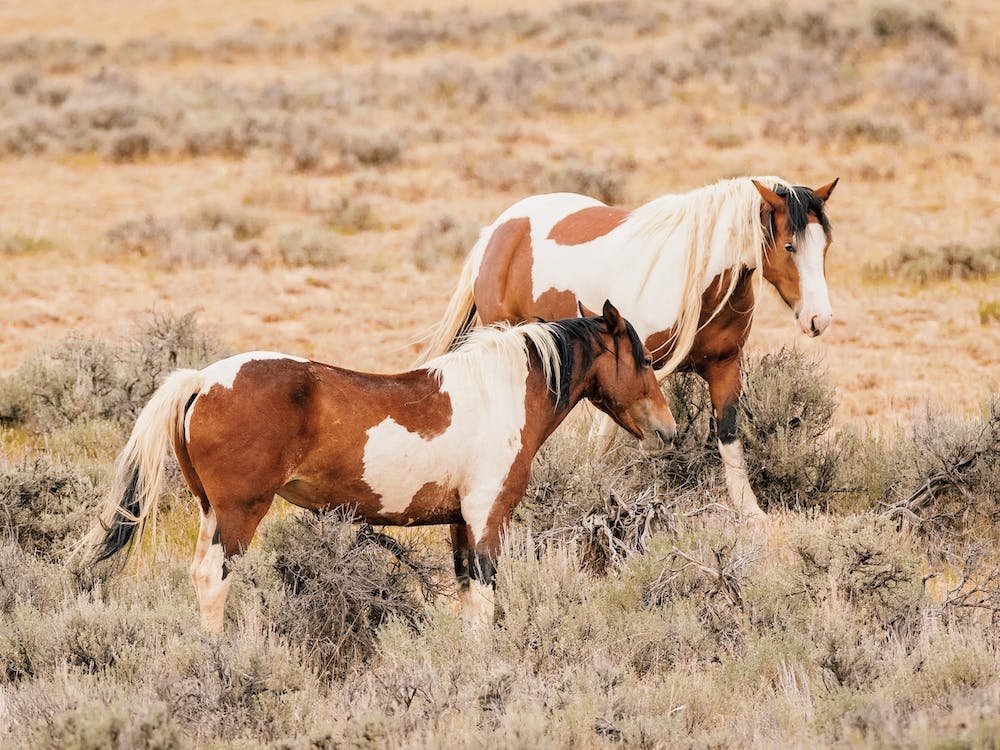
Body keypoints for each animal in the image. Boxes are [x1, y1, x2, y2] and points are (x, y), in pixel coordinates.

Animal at [80, 301, 675, 631]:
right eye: (645, 359)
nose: (668, 430)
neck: (499, 392)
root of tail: (203, 379)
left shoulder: (460, 524)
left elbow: (467, 598)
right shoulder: (488, 517)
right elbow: (485, 598)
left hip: (211, 513)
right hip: (240, 514)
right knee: (212, 579)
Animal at [419, 176, 839, 518]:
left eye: (826, 246)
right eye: (789, 245)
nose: (819, 319)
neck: (695, 278)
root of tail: (500, 228)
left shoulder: (724, 366)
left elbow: (728, 434)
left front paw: (750, 511)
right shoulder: (629, 367)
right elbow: (605, 436)